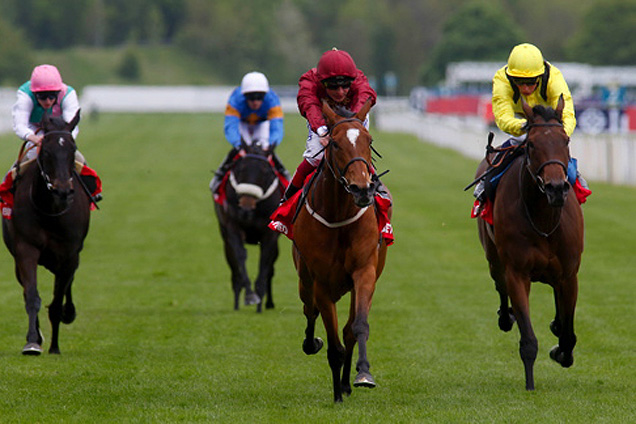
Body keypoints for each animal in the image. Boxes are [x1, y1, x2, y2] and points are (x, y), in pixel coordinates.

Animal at [1, 111, 90, 356]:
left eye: (72, 148)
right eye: (47, 151)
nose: (63, 191)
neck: (51, 210)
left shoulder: (69, 253)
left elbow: (58, 299)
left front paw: (55, 347)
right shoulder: (25, 249)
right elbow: (32, 296)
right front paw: (32, 341)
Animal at [214, 142, 284, 312]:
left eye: (266, 172)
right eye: (240, 169)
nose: (245, 207)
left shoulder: (270, 235)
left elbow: (264, 261)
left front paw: (259, 302)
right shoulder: (232, 227)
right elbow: (240, 256)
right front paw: (250, 296)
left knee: (270, 269)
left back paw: (269, 303)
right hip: (225, 239)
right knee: (234, 269)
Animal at [292, 98, 390, 400]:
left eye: (369, 140)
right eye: (334, 143)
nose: (361, 189)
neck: (339, 218)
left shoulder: (365, 271)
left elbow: (357, 328)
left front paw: (362, 375)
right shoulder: (321, 282)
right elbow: (333, 344)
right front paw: (336, 395)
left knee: (347, 329)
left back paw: (348, 381)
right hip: (304, 279)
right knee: (309, 310)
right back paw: (311, 344)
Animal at [474, 97, 584, 390]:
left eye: (566, 140)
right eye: (531, 144)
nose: (556, 188)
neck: (544, 221)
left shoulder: (569, 274)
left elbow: (569, 334)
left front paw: (561, 351)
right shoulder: (517, 273)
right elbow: (528, 339)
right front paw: (530, 384)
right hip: (493, 258)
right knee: (499, 285)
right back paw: (505, 316)